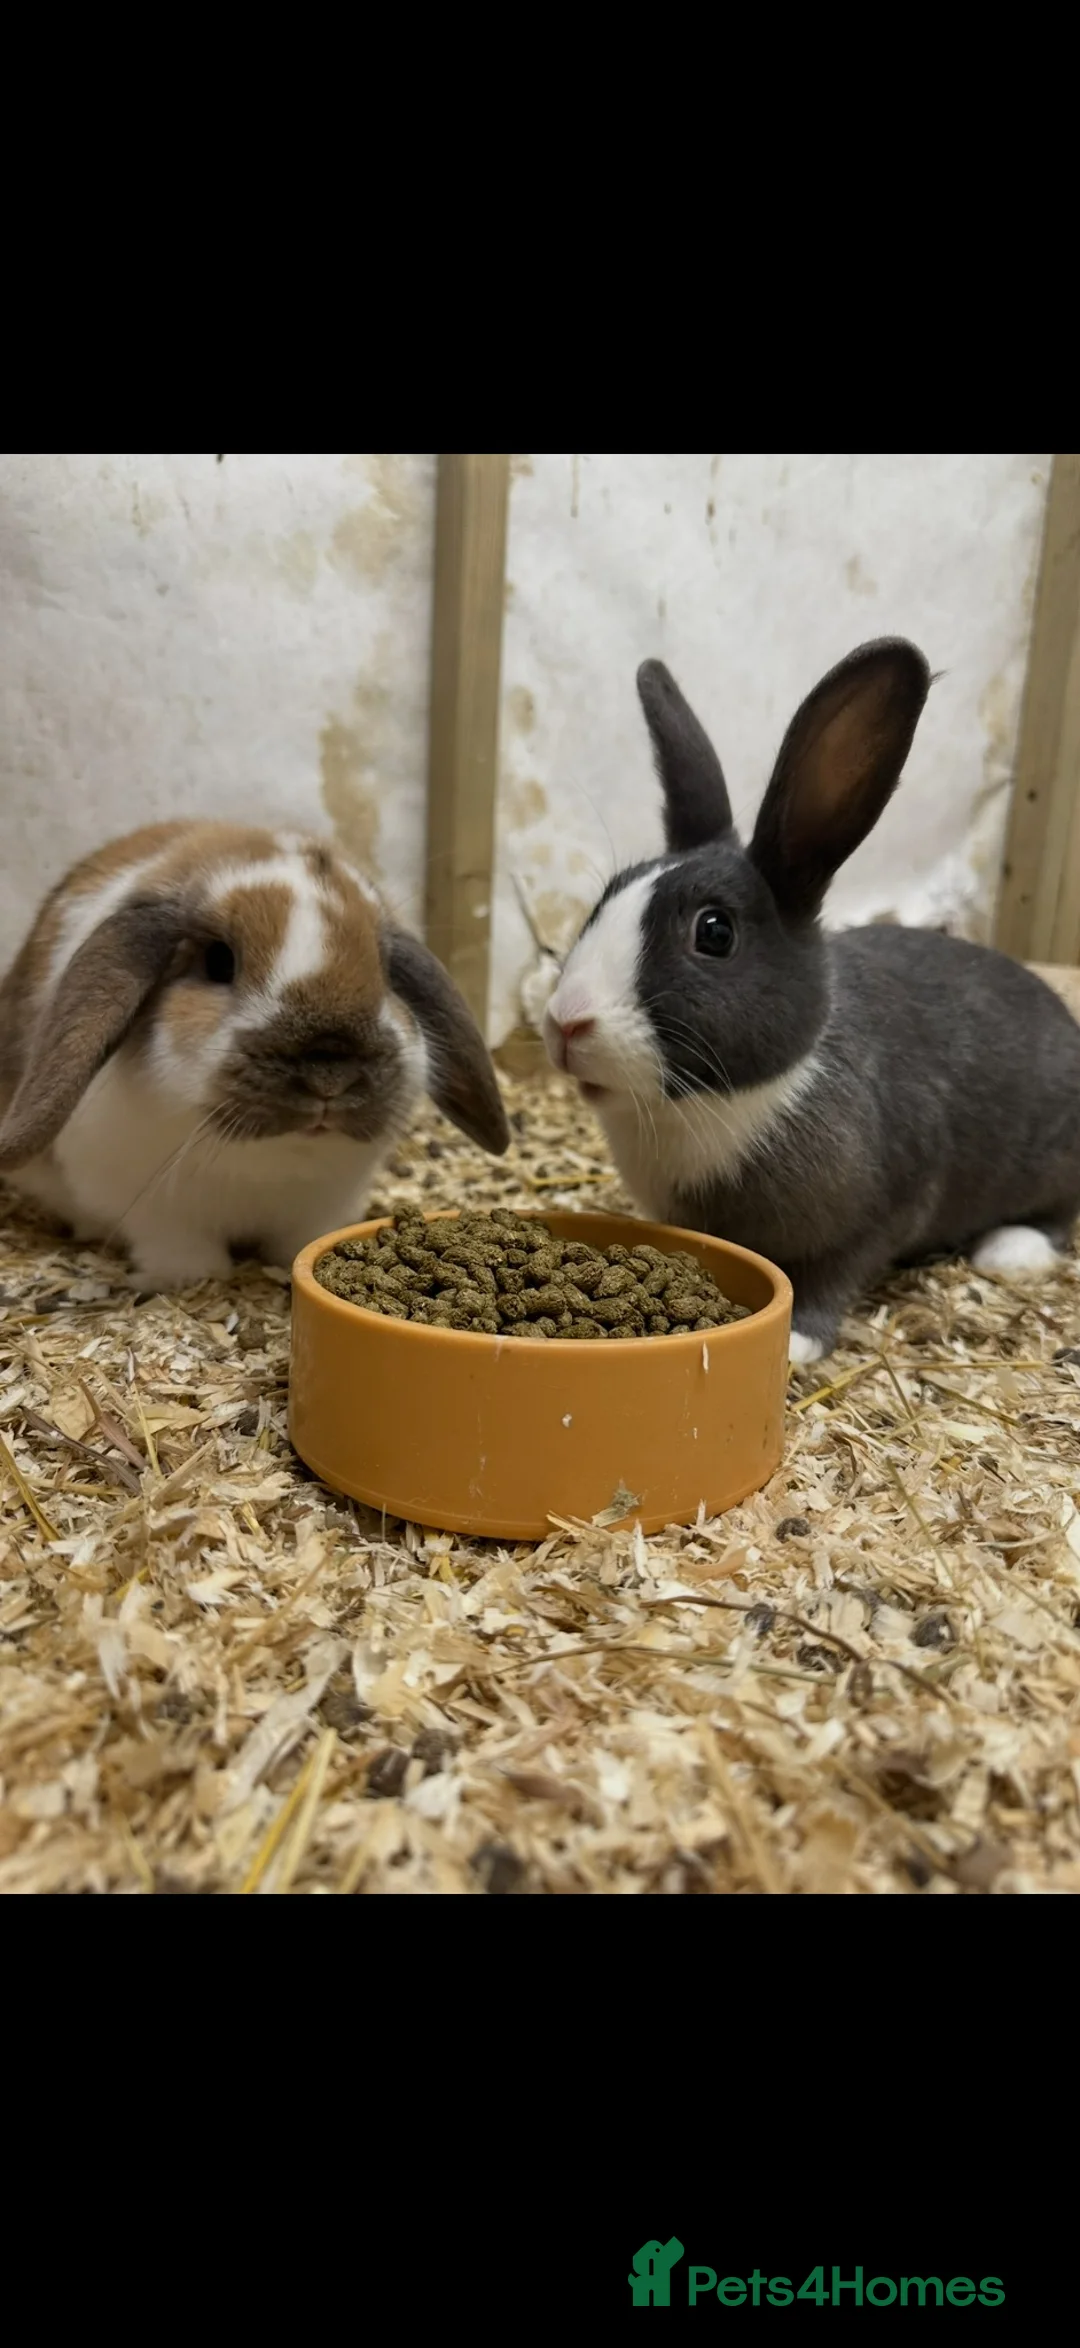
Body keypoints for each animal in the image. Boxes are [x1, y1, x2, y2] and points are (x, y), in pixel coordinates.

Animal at [0, 820, 510, 1291]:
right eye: (218, 961)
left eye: (384, 970)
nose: (330, 1073)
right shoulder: (153, 1211)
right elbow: (179, 1250)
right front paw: (193, 1278)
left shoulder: (322, 1207)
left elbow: (300, 1242)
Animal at [543, 639, 1080, 1363]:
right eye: (606, 897)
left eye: (715, 933)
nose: (567, 1023)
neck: (727, 1102)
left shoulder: (881, 1214)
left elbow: (833, 1276)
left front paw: (796, 1343)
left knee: (1060, 1213)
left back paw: (1010, 1250)